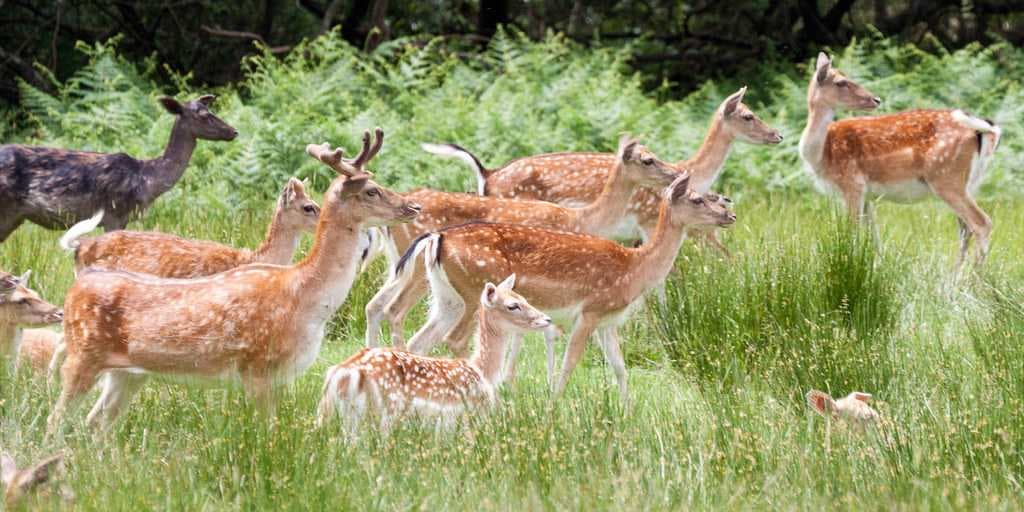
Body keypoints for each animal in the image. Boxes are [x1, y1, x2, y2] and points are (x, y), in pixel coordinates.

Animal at [0, 95, 237, 243]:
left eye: (209, 109)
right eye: (203, 115)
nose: (233, 131)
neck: (147, 181)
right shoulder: (114, 212)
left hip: (15, 217)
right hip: (6, 207)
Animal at [316, 274, 551, 436]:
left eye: (523, 297)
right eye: (513, 305)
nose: (546, 319)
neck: (482, 371)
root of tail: (341, 374)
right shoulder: (469, 414)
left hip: (337, 414)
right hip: (384, 411)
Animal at [364, 136, 678, 349]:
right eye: (648, 159)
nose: (674, 173)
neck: (581, 220)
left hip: (400, 265)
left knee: (376, 305)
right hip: (423, 273)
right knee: (396, 310)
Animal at [390, 174, 735, 404]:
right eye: (698, 199)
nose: (729, 215)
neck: (635, 269)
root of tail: (437, 237)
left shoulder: (609, 320)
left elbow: (620, 367)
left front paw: (626, 408)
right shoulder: (591, 310)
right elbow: (571, 361)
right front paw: (554, 402)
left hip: (446, 297)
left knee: (421, 339)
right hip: (476, 290)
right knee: (456, 338)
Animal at [799, 52, 1001, 269]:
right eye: (841, 82)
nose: (876, 99)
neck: (821, 155)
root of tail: (986, 130)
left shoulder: (851, 184)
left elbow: (853, 233)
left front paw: (850, 265)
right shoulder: (867, 194)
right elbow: (874, 237)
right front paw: (876, 267)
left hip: (946, 177)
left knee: (981, 223)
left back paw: (972, 275)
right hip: (971, 182)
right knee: (965, 228)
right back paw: (956, 273)